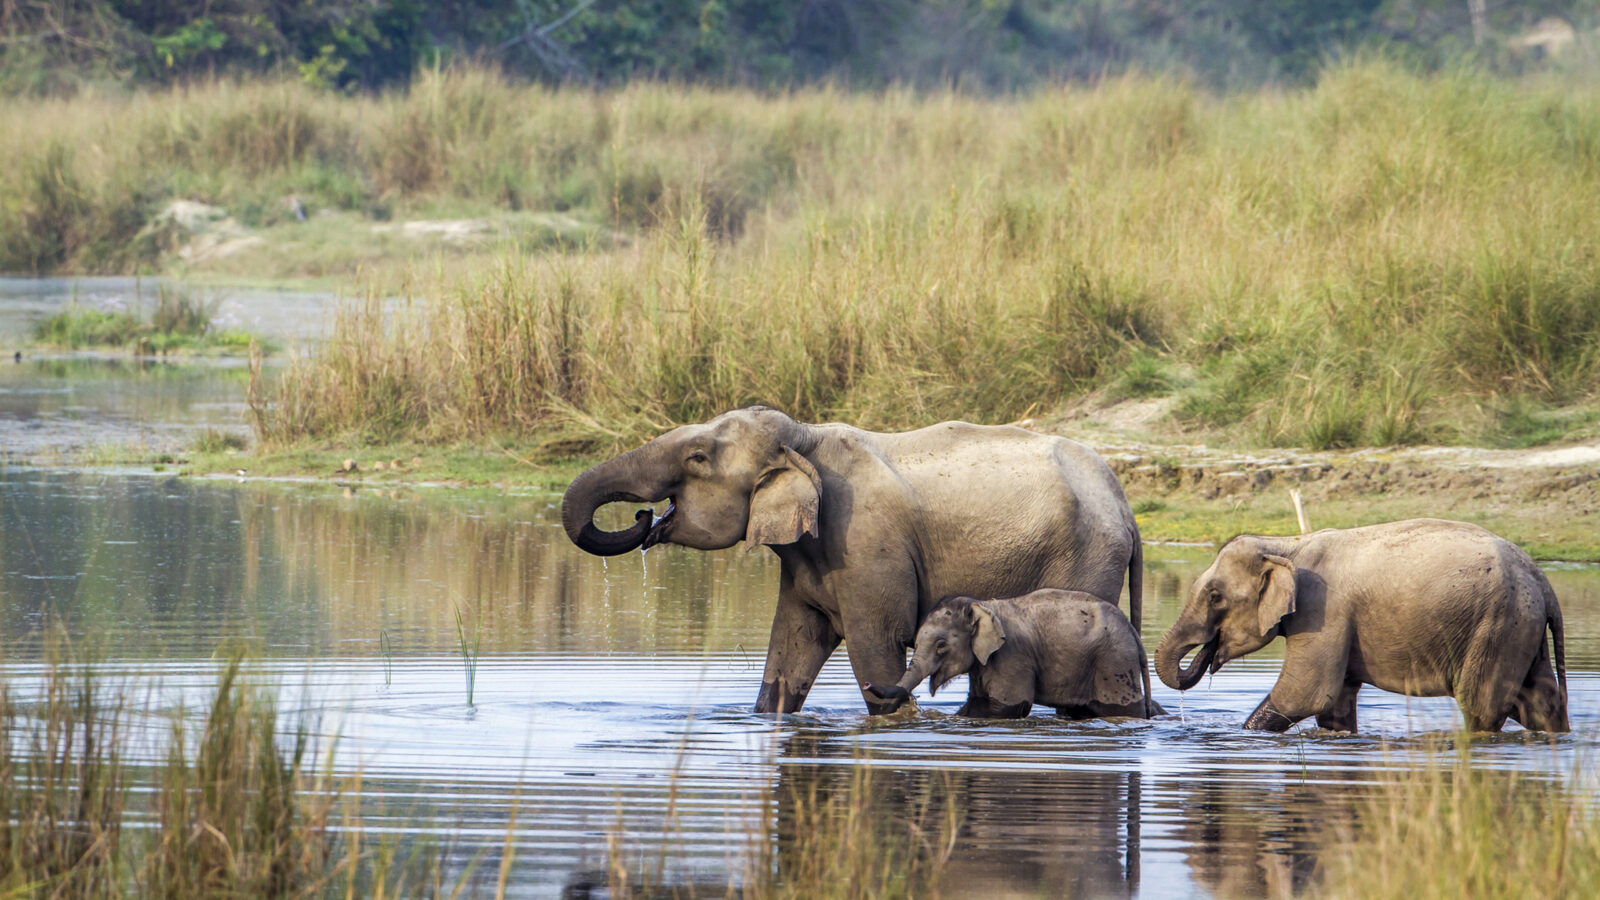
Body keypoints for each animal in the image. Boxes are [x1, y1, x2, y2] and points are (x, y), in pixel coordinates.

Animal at [863, 590, 1163, 719]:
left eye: (941, 645)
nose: (866, 684)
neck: (982, 604)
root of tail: (1133, 633)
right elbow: (977, 705)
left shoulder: (1012, 656)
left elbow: (1009, 707)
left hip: (1114, 663)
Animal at [1154, 518, 1568, 733]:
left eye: (1215, 597)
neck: (1288, 545)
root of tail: (1544, 583)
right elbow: (1334, 706)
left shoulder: (1323, 612)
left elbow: (1304, 695)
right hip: (1520, 628)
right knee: (1539, 701)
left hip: (1497, 626)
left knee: (1481, 706)